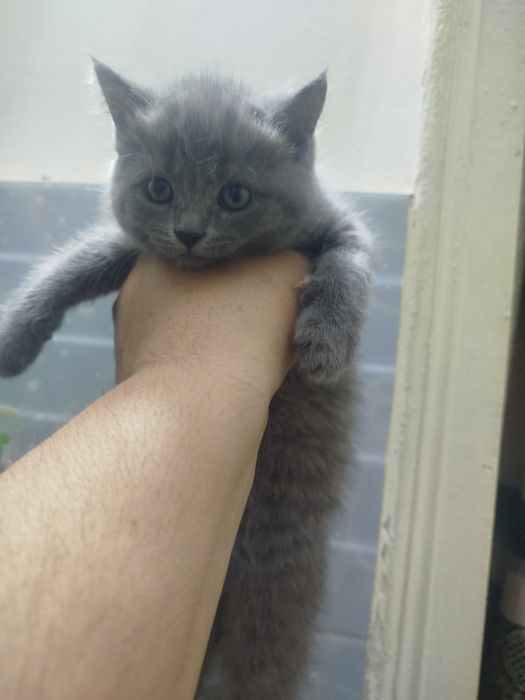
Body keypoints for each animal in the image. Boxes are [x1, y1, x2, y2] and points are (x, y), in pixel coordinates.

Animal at [0, 60, 373, 699]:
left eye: (235, 195)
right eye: (158, 189)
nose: (190, 233)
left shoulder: (339, 227)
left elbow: (349, 260)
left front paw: (327, 338)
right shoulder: (129, 247)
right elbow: (75, 262)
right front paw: (14, 338)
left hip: (273, 600)